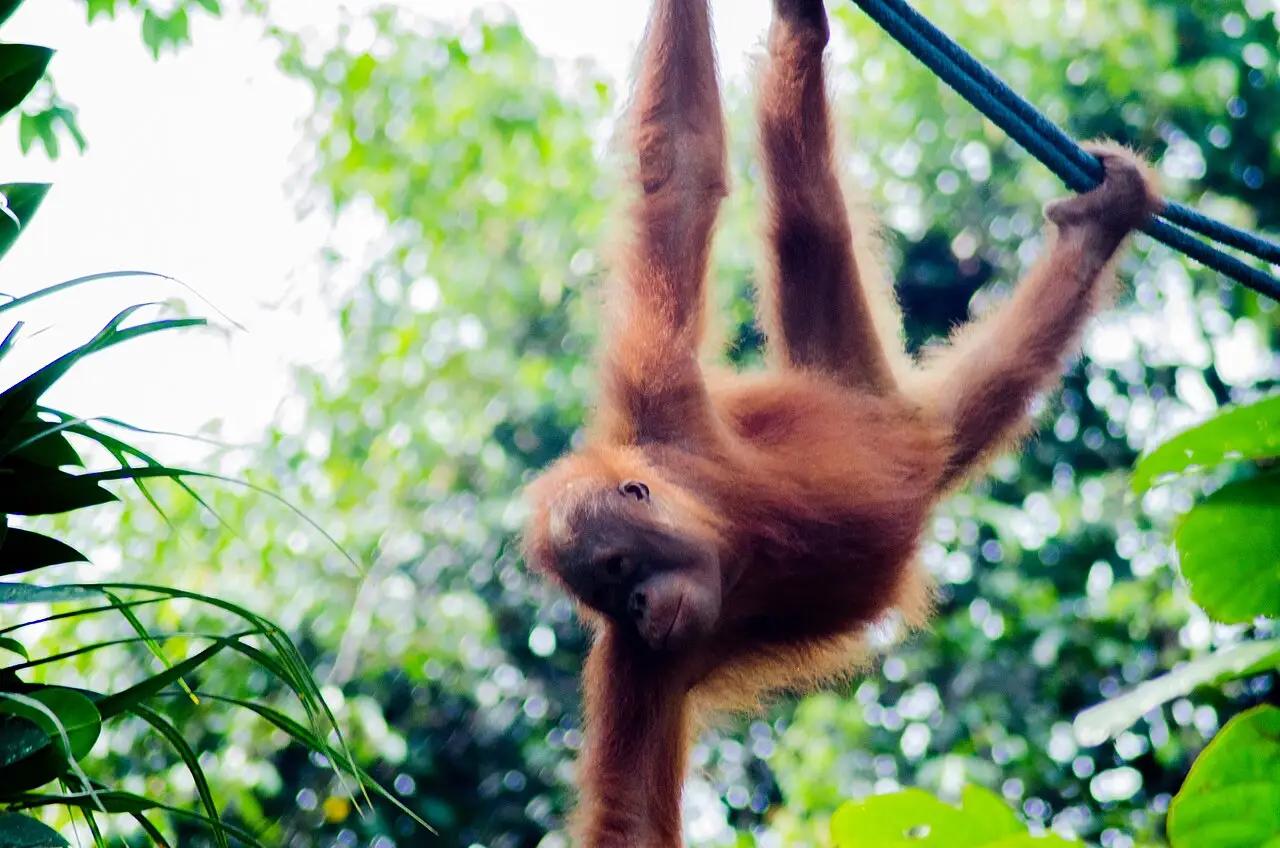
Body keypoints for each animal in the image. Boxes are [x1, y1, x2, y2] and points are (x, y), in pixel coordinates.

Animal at [519, 0, 1162, 844]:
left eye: (620, 569)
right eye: (604, 597)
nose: (638, 609)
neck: (731, 537)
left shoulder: (659, 400)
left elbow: (681, 173)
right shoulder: (640, 663)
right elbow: (628, 815)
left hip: (874, 404)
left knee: (811, 221)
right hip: (897, 414)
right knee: (973, 384)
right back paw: (1094, 231)